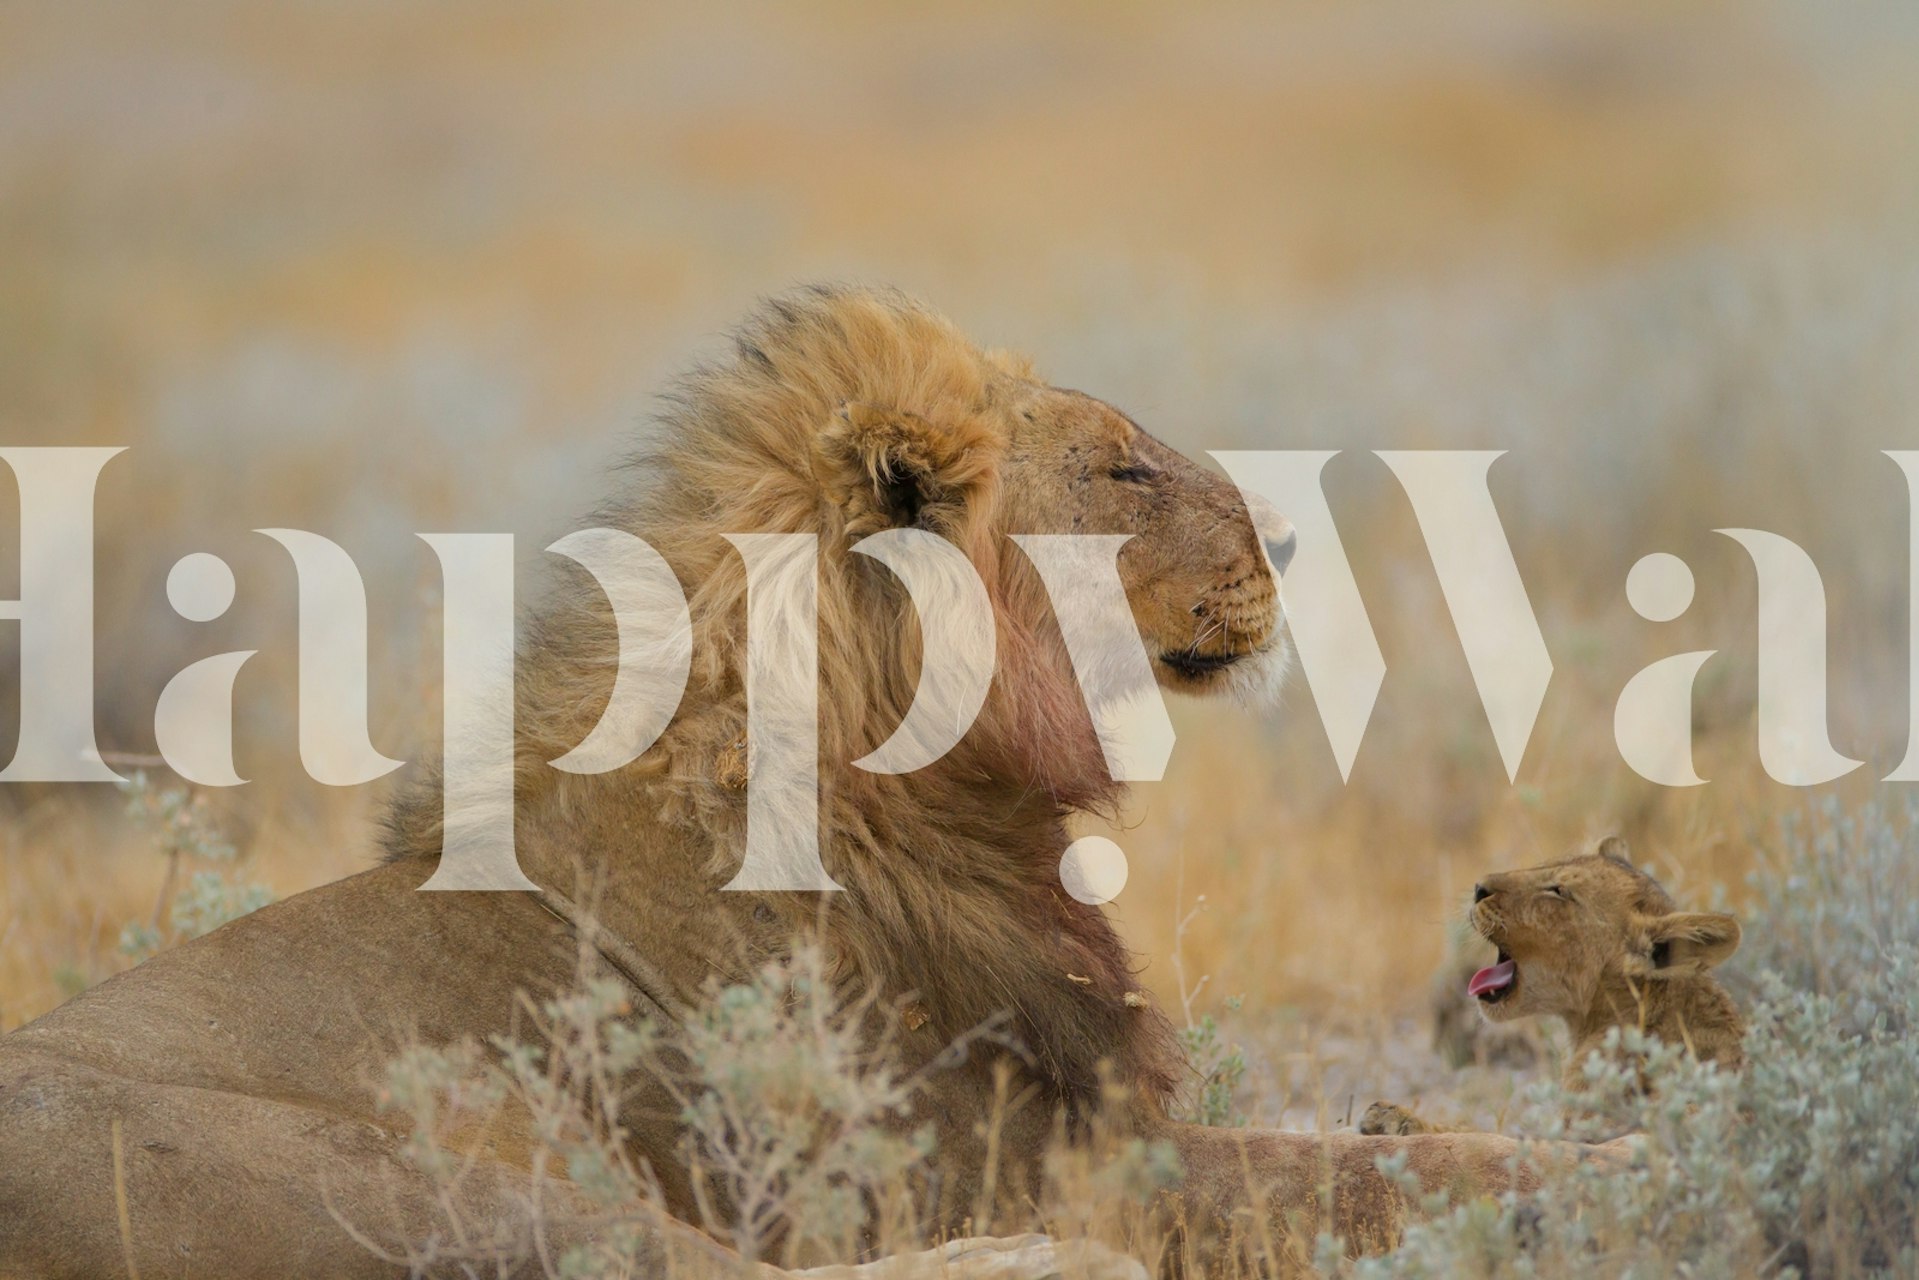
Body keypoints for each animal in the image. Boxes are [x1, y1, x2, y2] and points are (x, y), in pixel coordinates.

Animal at [0, 286, 1612, 1277]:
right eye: (1119, 472)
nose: (1282, 539)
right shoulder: (1010, 1152)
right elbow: (1339, 1175)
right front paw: (1590, 1161)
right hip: (434, 1173)